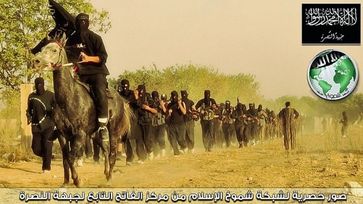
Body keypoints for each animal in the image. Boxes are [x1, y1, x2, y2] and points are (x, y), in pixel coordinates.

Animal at [31, 34, 131, 187]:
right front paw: (66, 181)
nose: (36, 61)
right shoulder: (62, 135)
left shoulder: (80, 134)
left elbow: (72, 157)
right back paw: (106, 172)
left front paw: (77, 180)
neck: (68, 99)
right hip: (95, 135)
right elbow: (66, 159)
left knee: (112, 153)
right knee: (105, 149)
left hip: (113, 131)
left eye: (54, 50)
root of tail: (121, 100)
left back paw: (109, 178)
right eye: (42, 49)